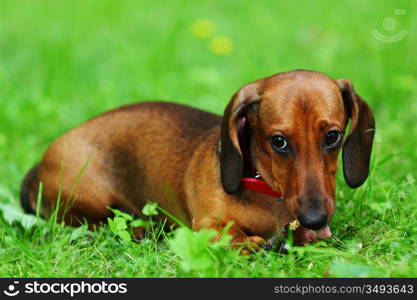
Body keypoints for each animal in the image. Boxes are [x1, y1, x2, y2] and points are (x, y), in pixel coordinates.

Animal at [21, 70, 376, 248]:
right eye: (279, 142)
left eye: (333, 137)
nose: (315, 219)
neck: (263, 190)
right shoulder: (206, 224)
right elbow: (232, 235)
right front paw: (250, 243)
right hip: (89, 193)